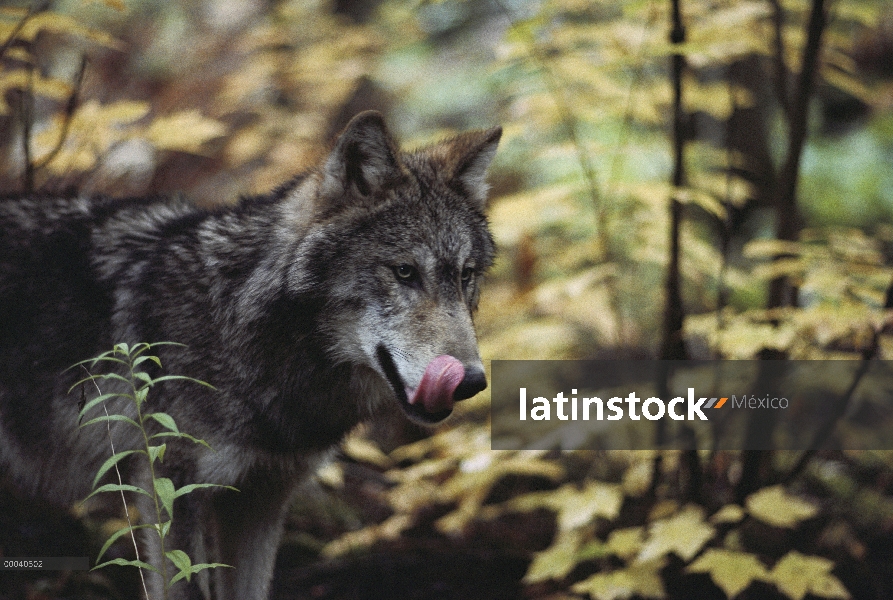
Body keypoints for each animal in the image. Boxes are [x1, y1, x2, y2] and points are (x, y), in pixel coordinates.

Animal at [0, 110, 502, 596]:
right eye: (404, 272)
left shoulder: (261, 497)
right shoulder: (168, 488)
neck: (235, 324)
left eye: (466, 275)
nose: (472, 381)